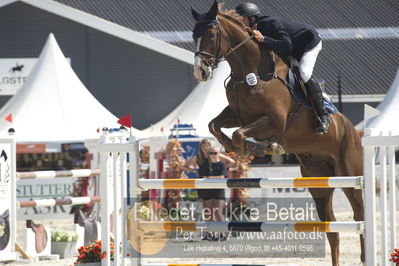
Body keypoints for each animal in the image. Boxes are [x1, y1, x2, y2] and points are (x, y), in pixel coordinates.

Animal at [192, 2, 364, 266]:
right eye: (194, 34)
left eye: (211, 34)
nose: (200, 72)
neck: (249, 72)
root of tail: (354, 131)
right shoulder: (237, 115)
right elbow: (214, 125)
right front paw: (233, 147)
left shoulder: (274, 122)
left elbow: (240, 134)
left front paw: (250, 148)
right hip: (319, 183)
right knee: (332, 229)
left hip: (350, 176)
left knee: (359, 215)